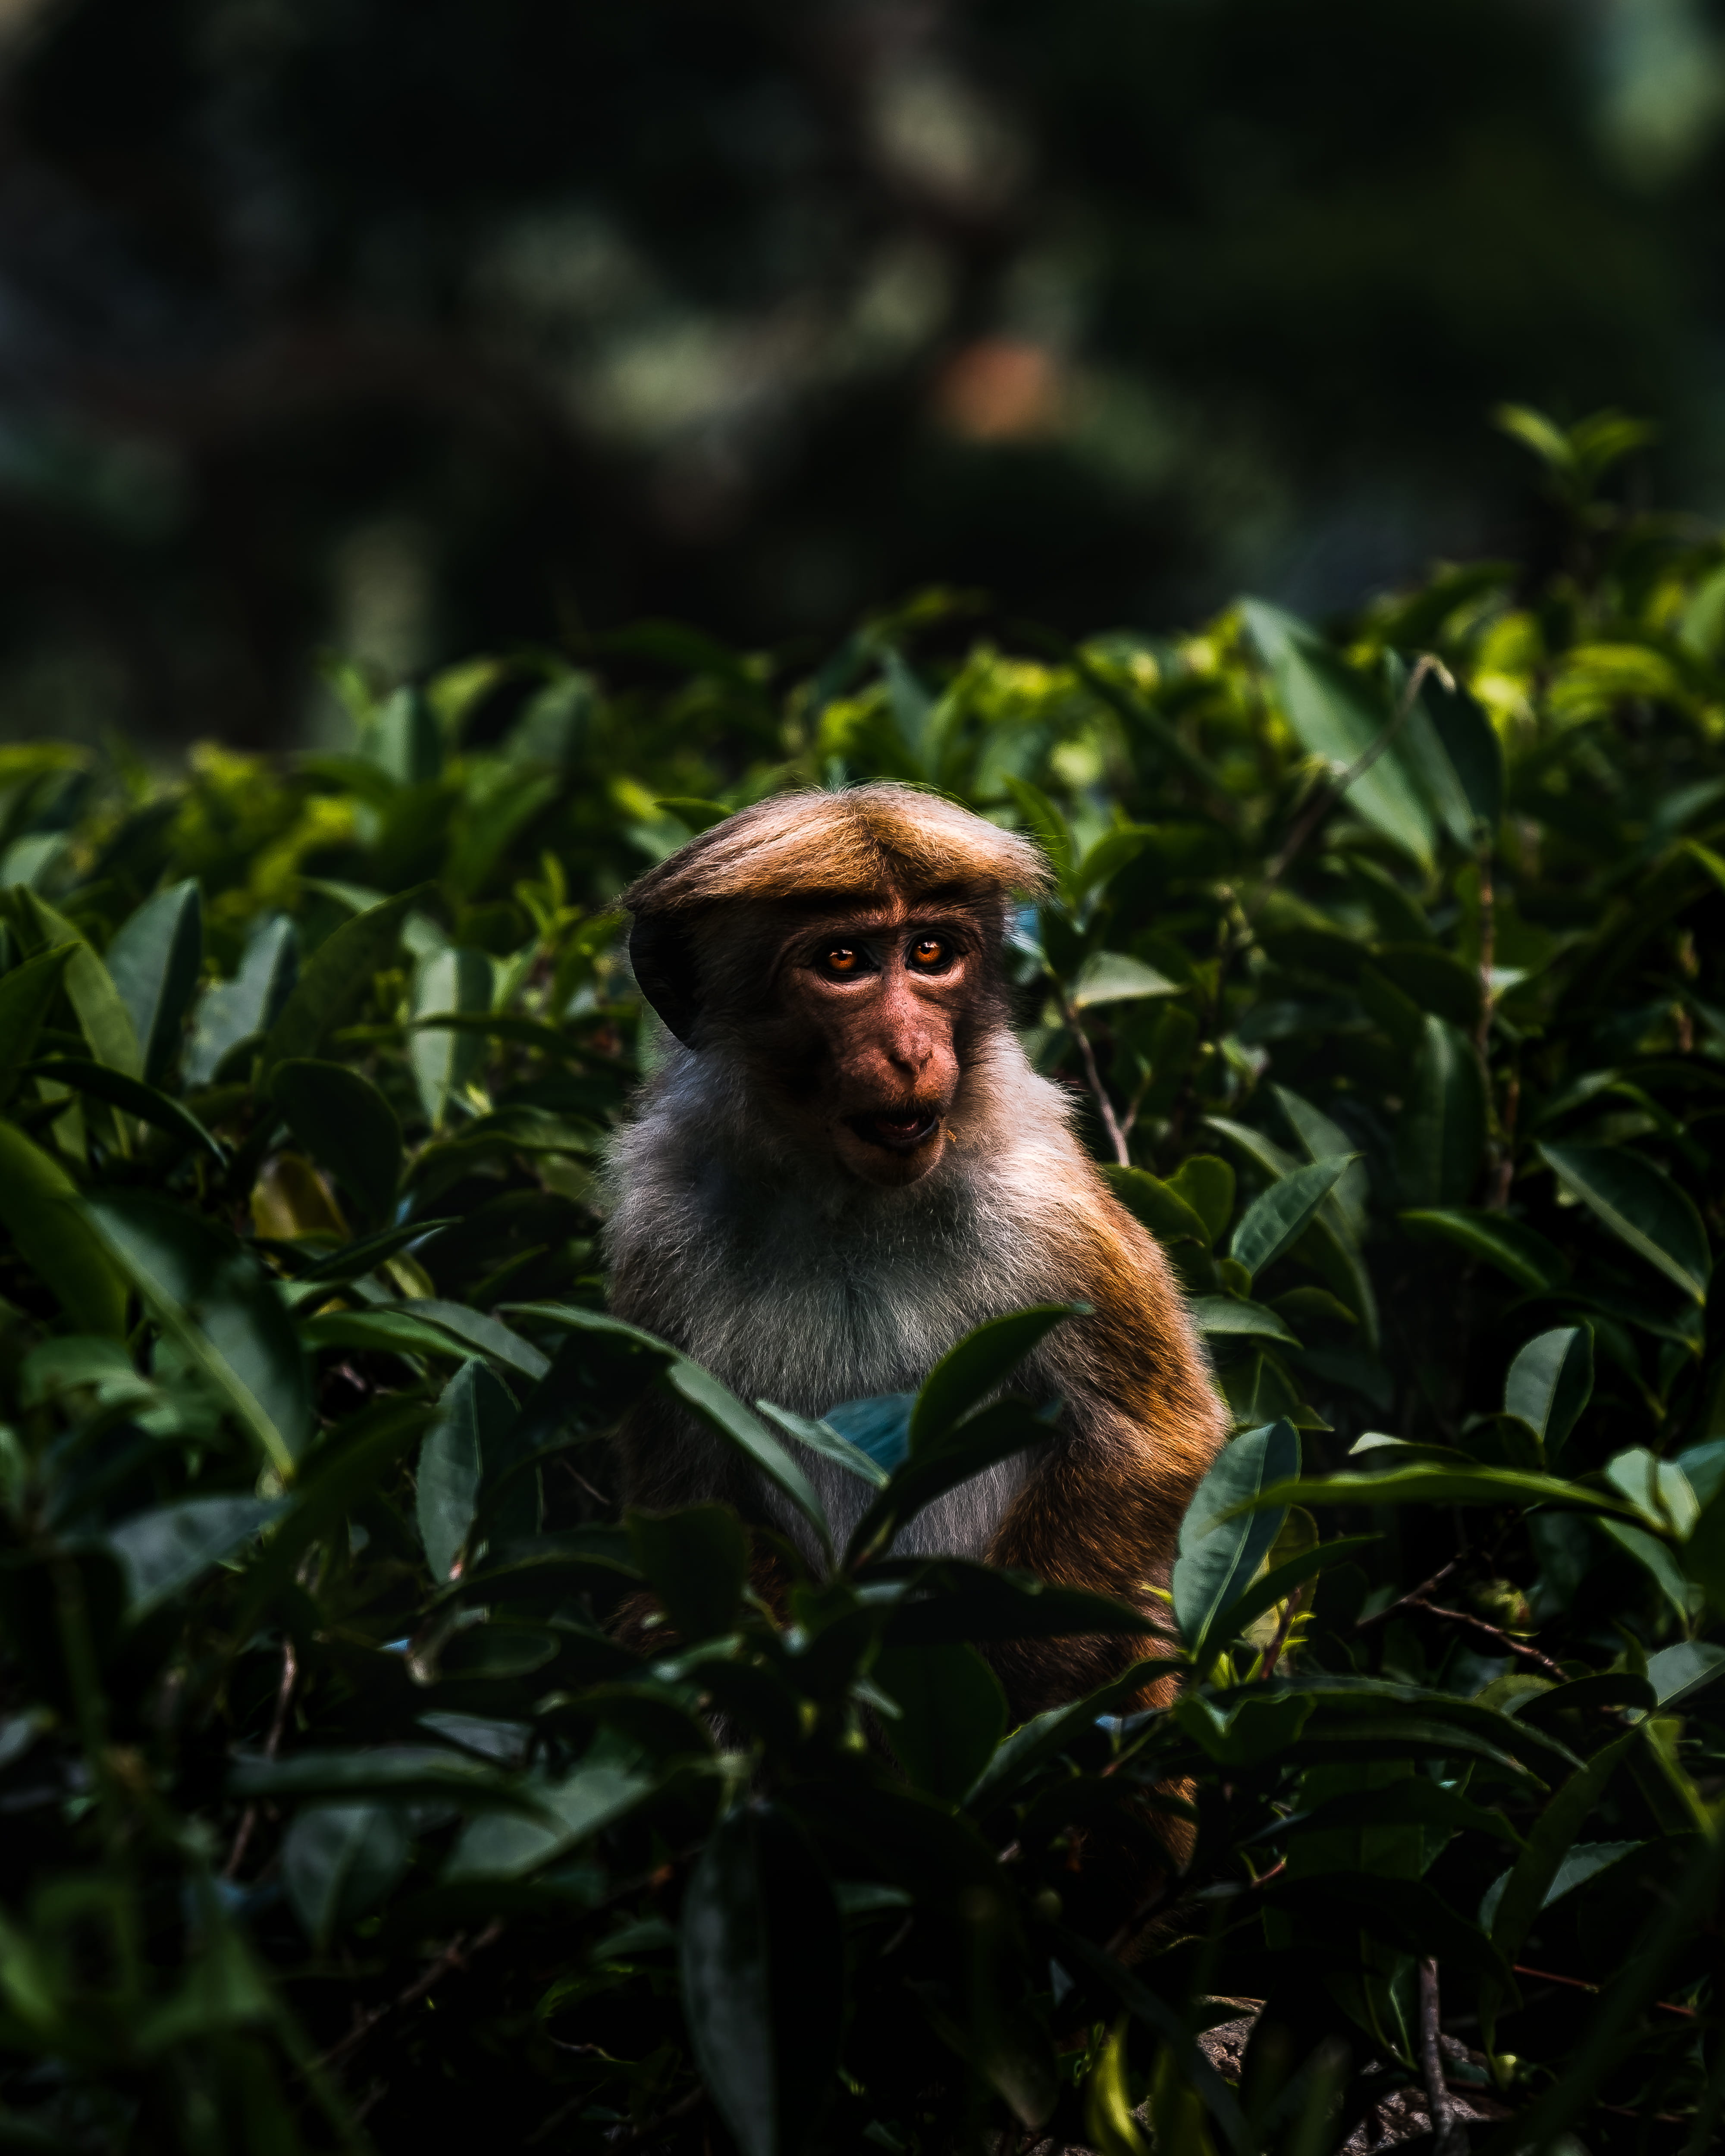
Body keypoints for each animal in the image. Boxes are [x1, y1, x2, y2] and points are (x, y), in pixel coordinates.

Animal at [602, 781, 1228, 1720]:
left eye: (931, 952)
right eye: (842, 962)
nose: (910, 1050)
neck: (848, 1201)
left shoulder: (1044, 1208)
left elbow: (1154, 1438)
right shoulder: (657, 1239)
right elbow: (685, 1524)